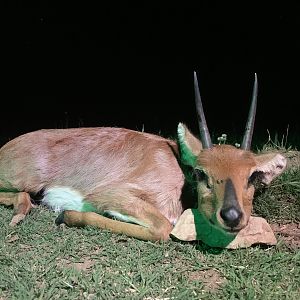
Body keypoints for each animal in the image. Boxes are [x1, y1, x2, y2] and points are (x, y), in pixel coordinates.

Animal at [0, 72, 286, 241]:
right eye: (201, 173)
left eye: (252, 176)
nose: (232, 216)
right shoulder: (110, 194)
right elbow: (162, 228)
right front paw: (65, 216)